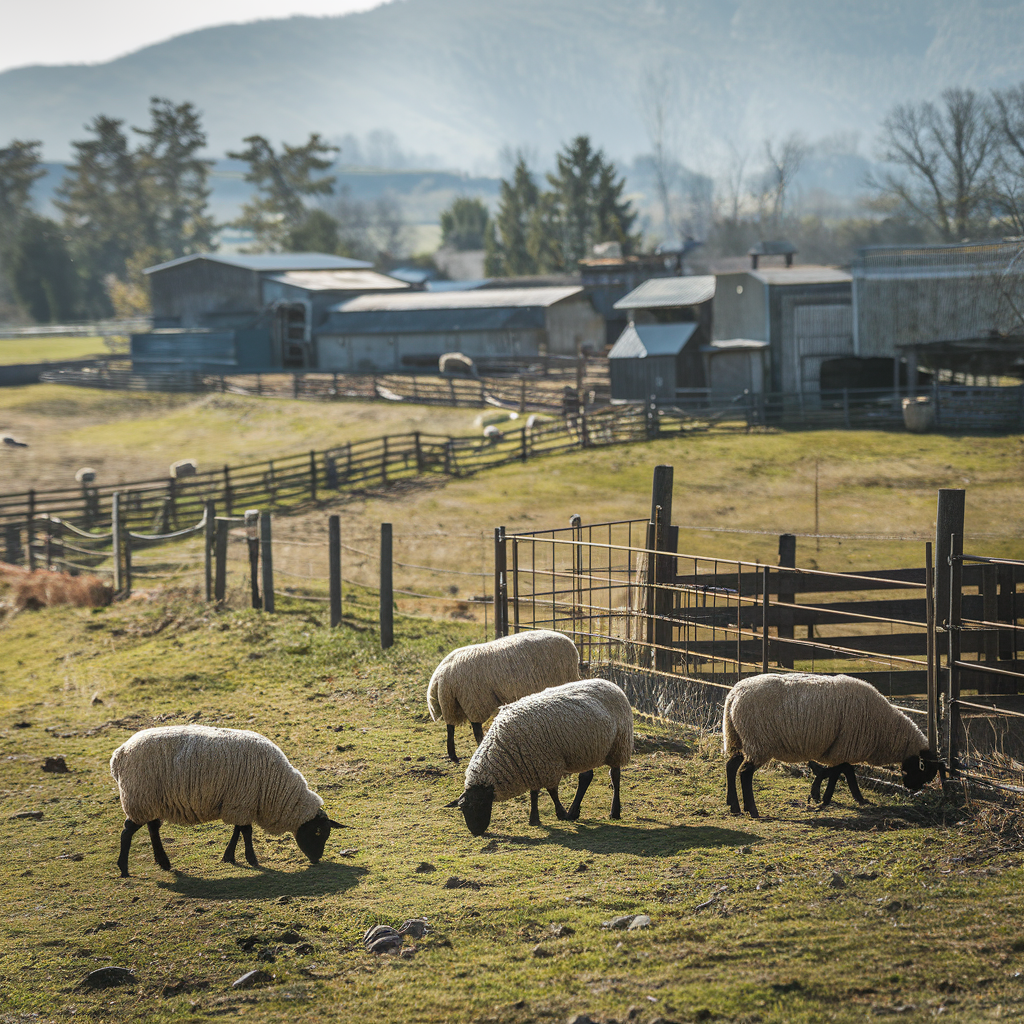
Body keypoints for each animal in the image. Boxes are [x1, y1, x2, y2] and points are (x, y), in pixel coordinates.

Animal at [109, 724, 343, 877]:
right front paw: (252, 859)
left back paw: (163, 862)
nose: (316, 860)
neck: (276, 787)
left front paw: (229, 857)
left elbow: (238, 829)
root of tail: (118, 755)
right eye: (318, 832)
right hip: (139, 797)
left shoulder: (240, 802)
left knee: (152, 828)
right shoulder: (242, 801)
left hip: (151, 800)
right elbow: (246, 831)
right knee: (128, 831)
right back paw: (124, 869)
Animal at [427, 629, 582, 762]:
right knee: (475, 728)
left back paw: (453, 755)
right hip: (473, 699)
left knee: (450, 726)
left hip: (450, 703)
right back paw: (477, 748)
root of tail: (441, 676)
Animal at [447, 678, 634, 836]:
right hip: (587, 751)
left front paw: (561, 814)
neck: (503, 748)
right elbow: (534, 792)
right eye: (463, 809)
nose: (475, 832)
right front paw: (535, 819)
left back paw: (614, 812)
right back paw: (575, 810)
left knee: (615, 775)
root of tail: (611, 684)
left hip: (618, 745)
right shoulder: (533, 763)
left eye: (478, 805)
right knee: (586, 777)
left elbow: (552, 791)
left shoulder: (545, 763)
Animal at [723, 672, 945, 818]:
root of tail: (734, 695)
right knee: (745, 773)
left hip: (738, 738)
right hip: (759, 741)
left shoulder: (840, 748)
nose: (911, 788)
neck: (886, 730)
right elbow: (839, 772)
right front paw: (825, 798)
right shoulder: (843, 747)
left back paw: (733, 806)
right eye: (924, 771)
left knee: (731, 766)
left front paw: (850, 797)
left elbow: (843, 771)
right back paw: (752, 810)